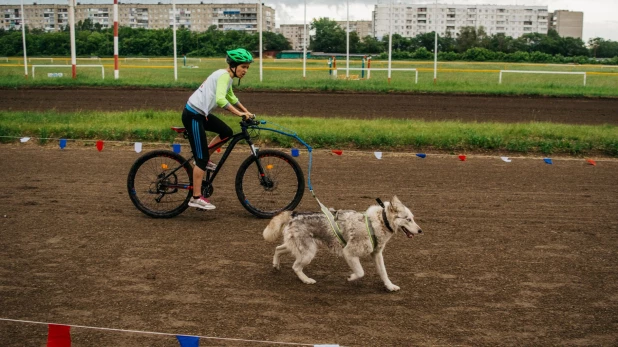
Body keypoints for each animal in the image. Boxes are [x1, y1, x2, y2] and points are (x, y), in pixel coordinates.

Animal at [262, 197, 422, 292]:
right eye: (408, 219)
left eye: (413, 218)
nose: (420, 231)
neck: (377, 222)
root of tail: (294, 214)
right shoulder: (349, 253)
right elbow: (360, 272)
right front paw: (351, 277)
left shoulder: (377, 254)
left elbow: (383, 272)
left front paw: (390, 286)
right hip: (308, 252)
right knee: (295, 267)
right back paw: (307, 280)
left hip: (296, 247)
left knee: (278, 249)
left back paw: (276, 265)